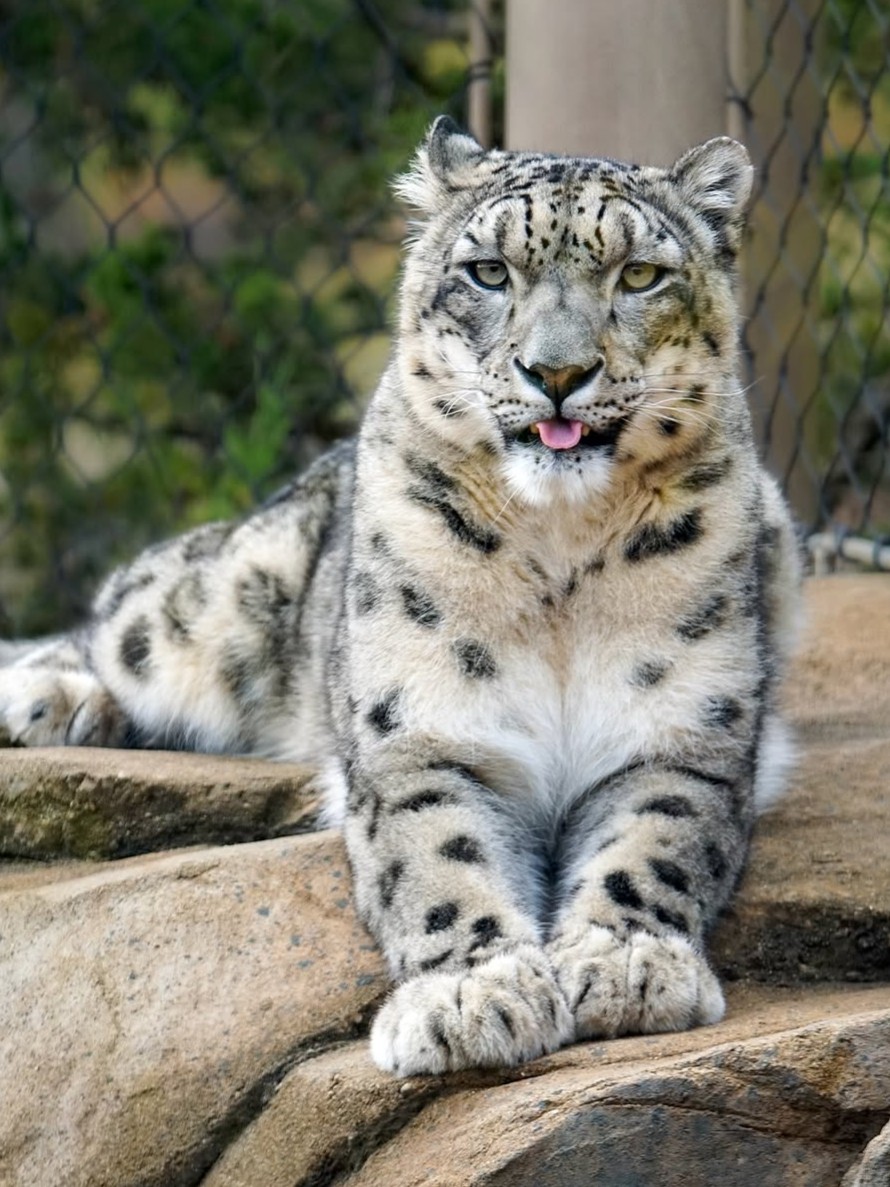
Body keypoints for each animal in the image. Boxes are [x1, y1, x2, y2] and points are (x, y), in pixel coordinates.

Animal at [0, 117, 801, 1076]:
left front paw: (627, 963)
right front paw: (472, 998)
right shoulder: (420, 732)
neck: (561, 554)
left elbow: (653, 844)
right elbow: (440, 856)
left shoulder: (682, 734)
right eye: (488, 271)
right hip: (217, 605)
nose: (556, 371)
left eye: (640, 275)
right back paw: (53, 695)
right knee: (132, 606)